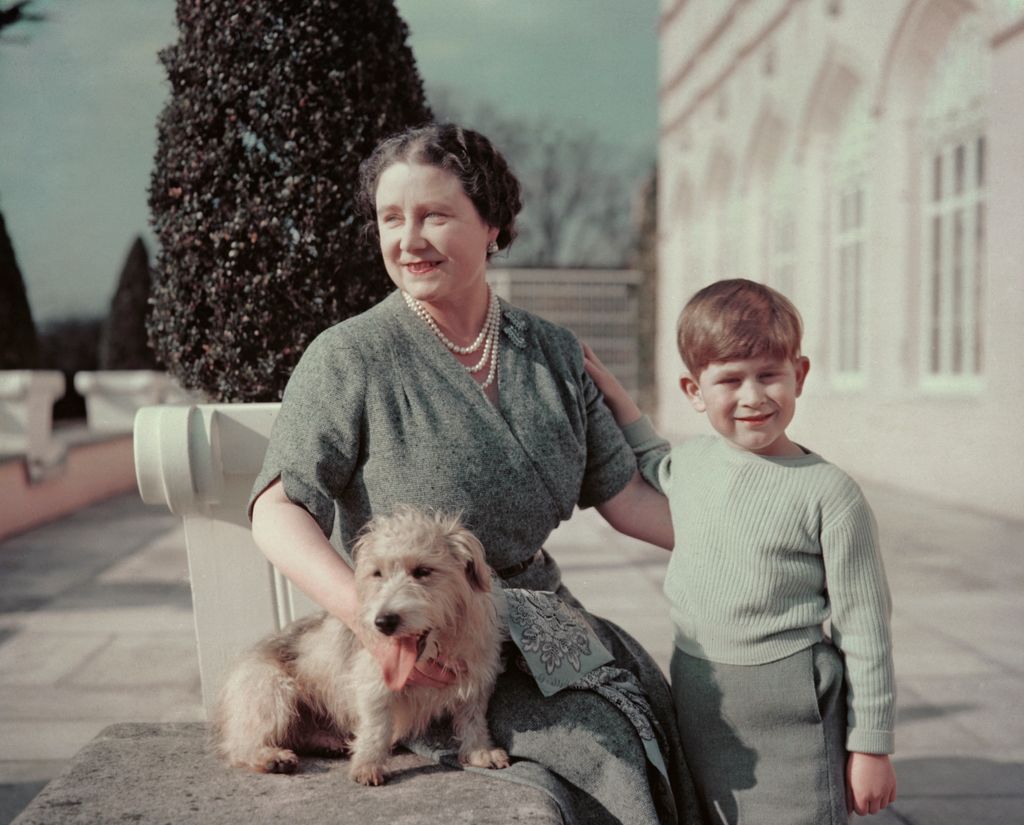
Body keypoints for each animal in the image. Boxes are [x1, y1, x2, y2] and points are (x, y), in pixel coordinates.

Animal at [214, 507, 509, 786]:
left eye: (423, 571)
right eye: (377, 573)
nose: (384, 622)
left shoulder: (476, 679)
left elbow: (473, 718)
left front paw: (480, 751)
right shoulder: (374, 685)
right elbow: (376, 727)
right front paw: (368, 765)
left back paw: (326, 742)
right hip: (272, 690)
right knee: (239, 745)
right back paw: (270, 757)